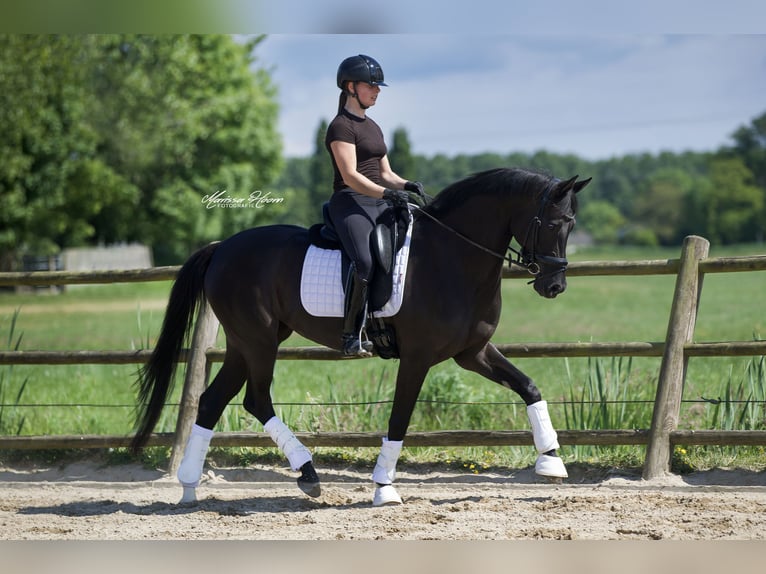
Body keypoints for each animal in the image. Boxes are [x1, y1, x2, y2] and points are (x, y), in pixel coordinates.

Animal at [131, 167, 591, 506]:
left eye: (572, 225)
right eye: (553, 222)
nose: (555, 286)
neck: (453, 256)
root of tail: (222, 248)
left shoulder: (472, 352)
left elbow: (528, 386)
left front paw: (551, 461)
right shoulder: (418, 357)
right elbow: (400, 417)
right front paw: (384, 487)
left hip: (249, 342)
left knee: (212, 401)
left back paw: (190, 488)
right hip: (258, 340)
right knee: (255, 400)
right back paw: (308, 474)